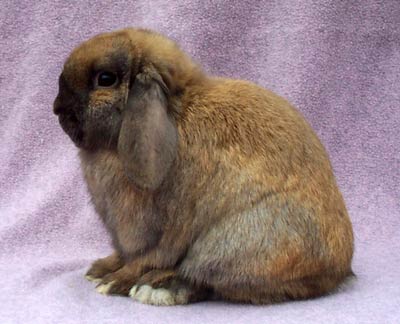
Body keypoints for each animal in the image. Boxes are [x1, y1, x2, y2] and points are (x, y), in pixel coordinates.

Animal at [52, 26, 354, 306]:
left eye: (105, 79)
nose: (57, 108)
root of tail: (339, 269)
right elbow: (125, 255)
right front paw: (100, 269)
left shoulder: (160, 232)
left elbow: (146, 258)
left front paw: (113, 282)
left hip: (234, 241)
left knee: (206, 278)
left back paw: (156, 288)